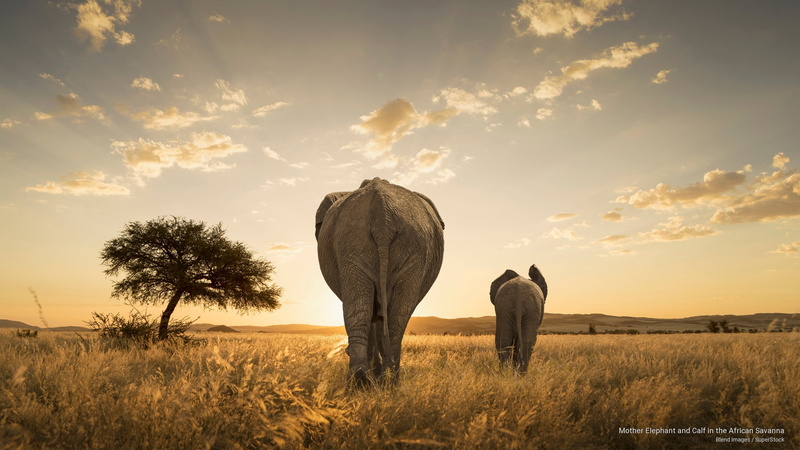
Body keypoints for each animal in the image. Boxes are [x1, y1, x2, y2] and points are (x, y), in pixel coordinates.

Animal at [315, 178, 445, 385]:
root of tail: (382, 214)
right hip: (382, 242)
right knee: (388, 314)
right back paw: (381, 381)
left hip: (372, 242)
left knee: (373, 310)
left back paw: (371, 380)